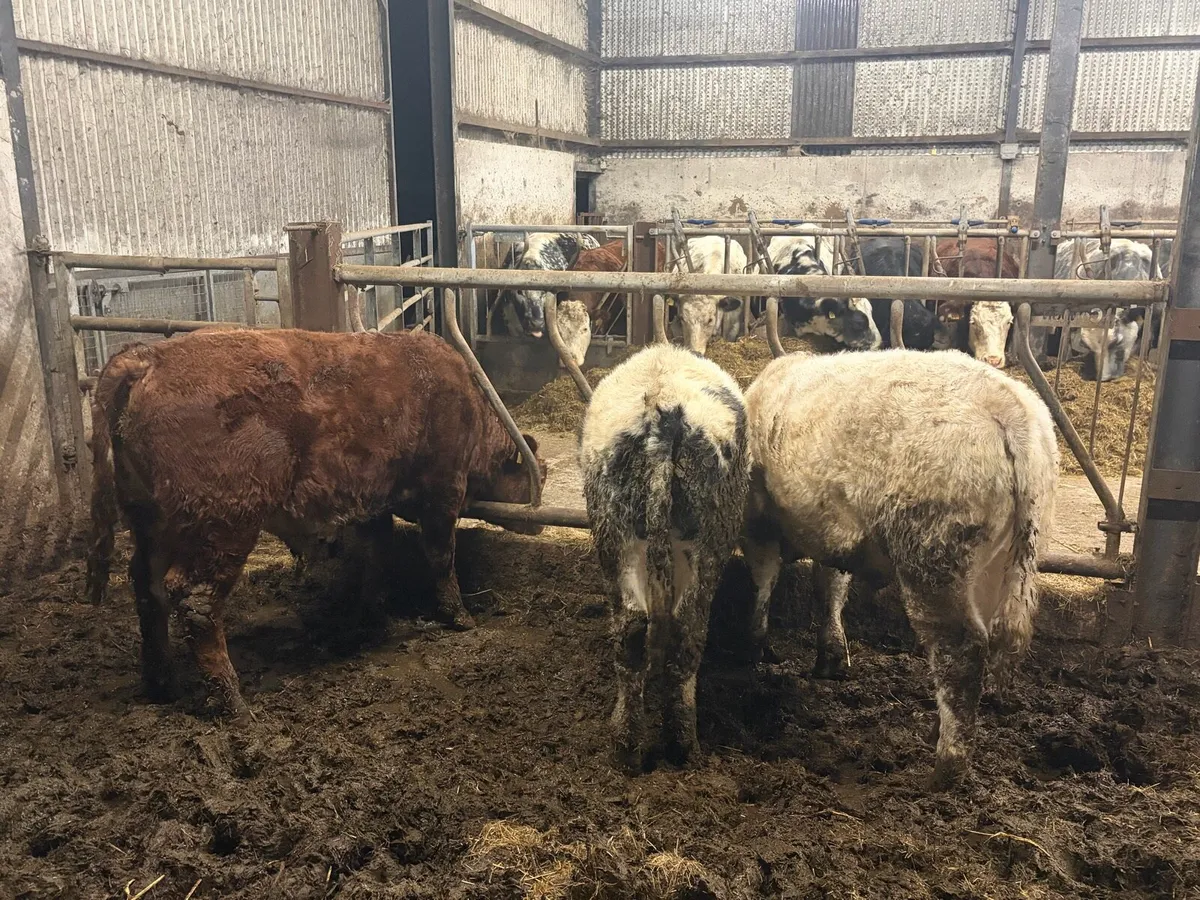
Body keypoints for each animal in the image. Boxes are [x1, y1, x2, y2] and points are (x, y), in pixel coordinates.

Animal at [85, 328, 546, 716]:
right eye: (534, 474)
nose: (540, 523)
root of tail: (148, 357)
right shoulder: (442, 488)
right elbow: (440, 555)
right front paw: (459, 617)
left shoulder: (372, 504)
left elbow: (376, 557)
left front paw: (370, 614)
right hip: (224, 523)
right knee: (196, 602)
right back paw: (233, 703)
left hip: (152, 522)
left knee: (148, 589)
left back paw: (162, 683)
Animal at [581, 345, 750, 771]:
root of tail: (662, 417)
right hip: (701, 538)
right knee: (683, 628)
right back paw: (676, 744)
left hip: (617, 533)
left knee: (637, 628)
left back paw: (632, 743)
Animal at [741, 349, 1057, 788]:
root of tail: (1012, 412)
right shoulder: (835, 532)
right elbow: (830, 586)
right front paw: (831, 658)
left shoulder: (760, 523)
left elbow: (763, 583)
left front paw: (755, 649)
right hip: (1001, 561)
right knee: (987, 643)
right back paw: (939, 730)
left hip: (932, 553)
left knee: (960, 649)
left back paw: (945, 767)